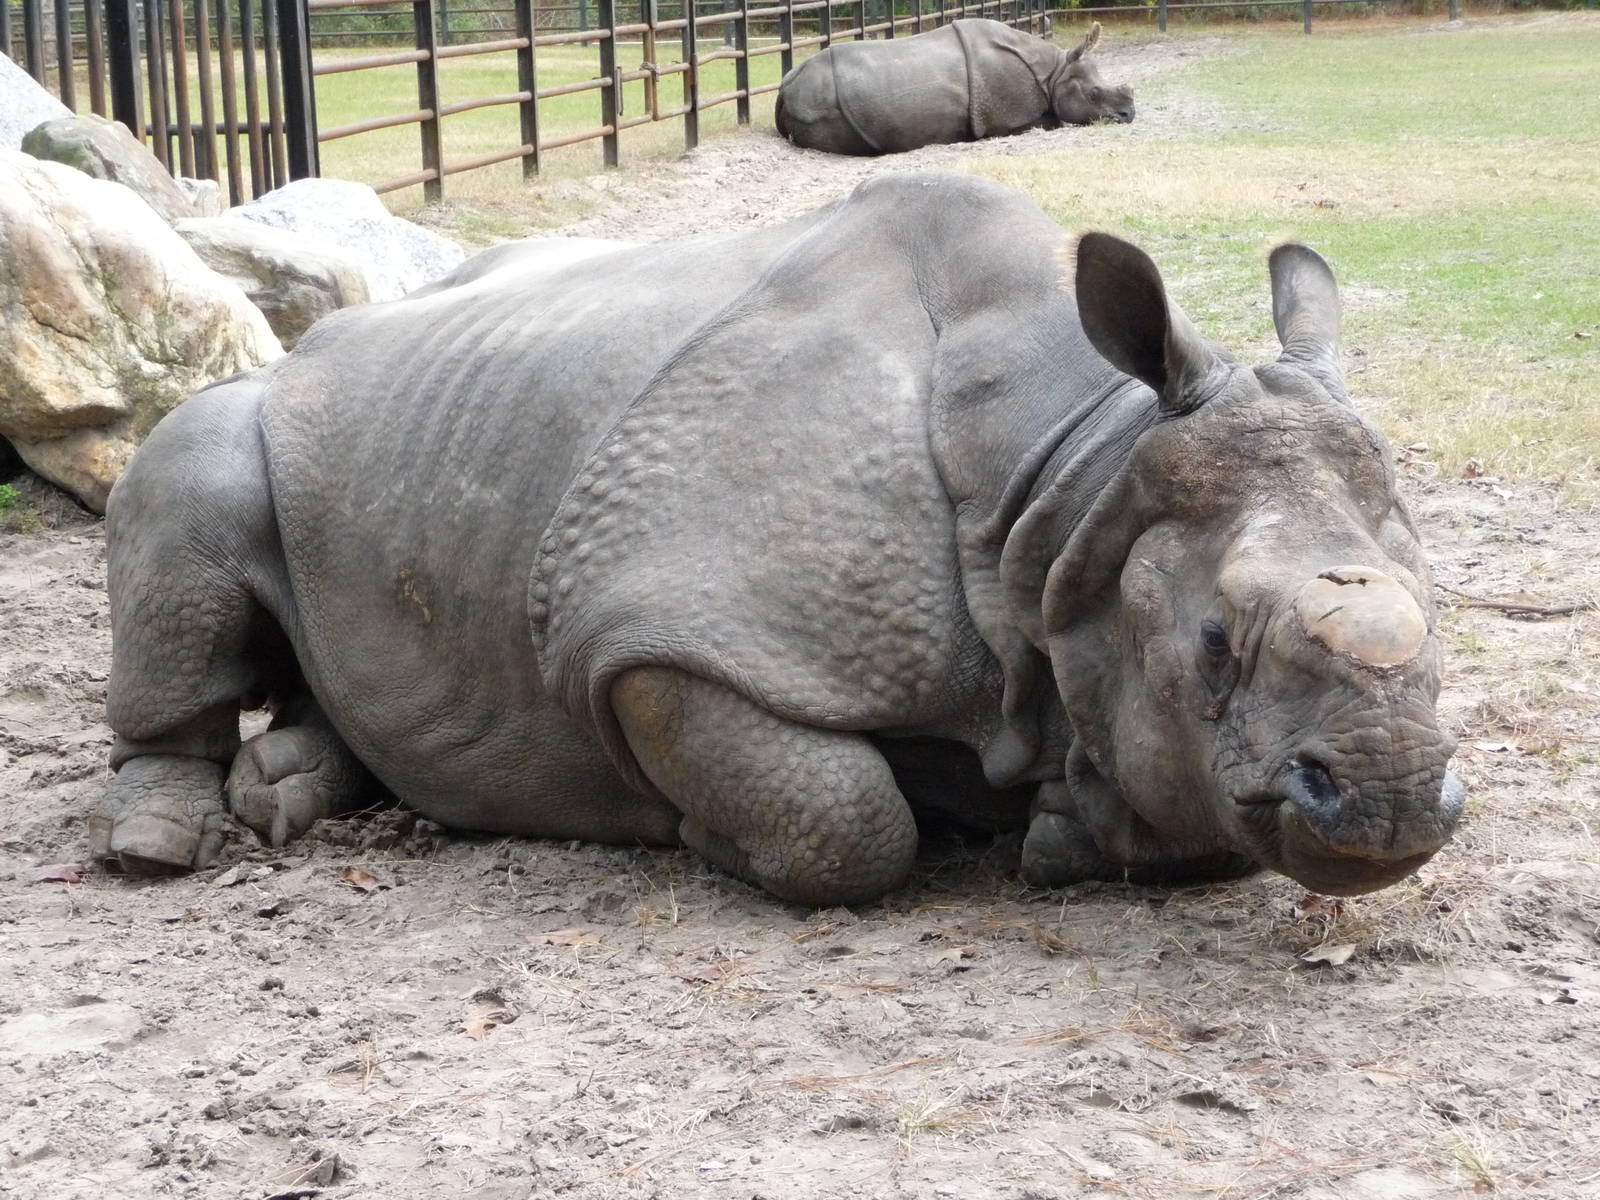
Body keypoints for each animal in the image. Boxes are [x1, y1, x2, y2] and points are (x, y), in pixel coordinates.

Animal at [91, 172, 1464, 906]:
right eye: (1214, 642)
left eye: (1438, 609)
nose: (1391, 807)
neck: (1067, 482)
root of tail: (319, 342)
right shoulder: (656, 631)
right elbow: (845, 822)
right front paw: (703, 837)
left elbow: (1186, 814)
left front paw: (1063, 830)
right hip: (246, 407)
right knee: (188, 483)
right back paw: (160, 848)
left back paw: (289, 789)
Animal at [775, 20, 1133, 156]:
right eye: (1094, 94)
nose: (1129, 115)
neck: (1055, 72)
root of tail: (784, 86)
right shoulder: (1009, 117)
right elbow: (1048, 122)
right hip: (818, 99)